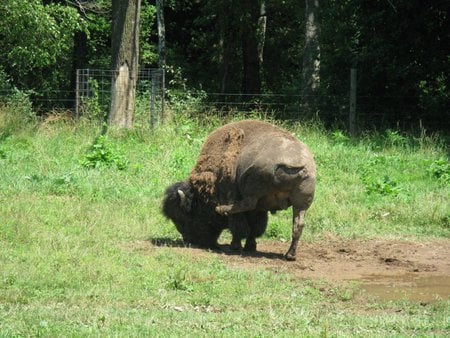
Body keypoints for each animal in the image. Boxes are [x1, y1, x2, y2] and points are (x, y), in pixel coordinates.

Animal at [163, 120, 316, 260]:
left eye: (183, 218)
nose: (189, 240)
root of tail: (298, 162)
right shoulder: (260, 209)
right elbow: (254, 227)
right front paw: (250, 246)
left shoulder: (231, 195)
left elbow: (239, 225)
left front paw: (235, 246)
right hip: (301, 204)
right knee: (298, 224)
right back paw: (290, 255)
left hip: (252, 183)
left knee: (247, 204)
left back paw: (222, 209)